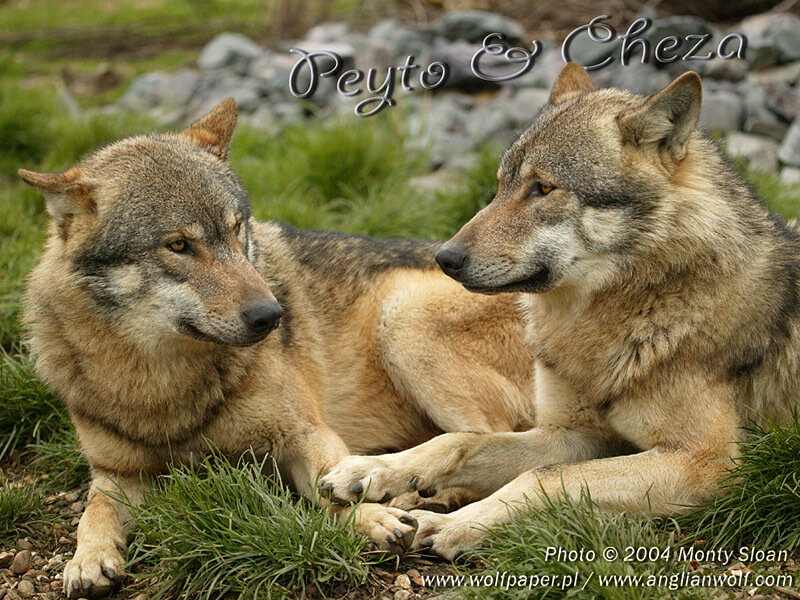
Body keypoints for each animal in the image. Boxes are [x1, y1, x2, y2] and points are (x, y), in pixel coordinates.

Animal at [19, 99, 536, 598]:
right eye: (179, 245)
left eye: (236, 229)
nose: (272, 315)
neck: (165, 385)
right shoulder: (115, 472)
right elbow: (93, 511)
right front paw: (87, 561)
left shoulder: (305, 435)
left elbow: (329, 485)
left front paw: (372, 515)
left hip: (403, 319)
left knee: (487, 444)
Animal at [320, 63, 800, 559]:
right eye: (500, 186)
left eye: (543, 188)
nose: (445, 258)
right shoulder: (572, 435)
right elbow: (458, 443)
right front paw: (371, 470)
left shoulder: (708, 462)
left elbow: (542, 479)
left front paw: (458, 525)